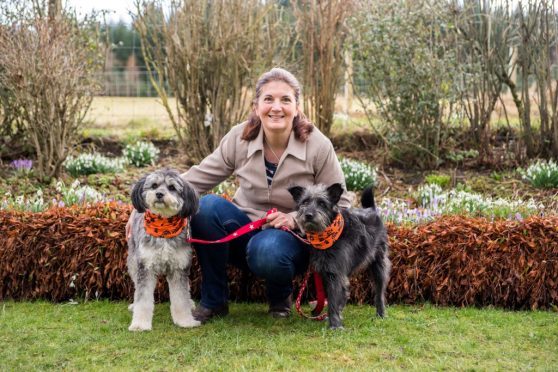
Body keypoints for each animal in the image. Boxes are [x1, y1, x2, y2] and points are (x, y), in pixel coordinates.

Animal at [128, 169, 202, 332]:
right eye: (154, 185)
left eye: (172, 188)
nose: (159, 194)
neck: (163, 229)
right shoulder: (145, 267)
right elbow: (142, 299)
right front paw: (140, 324)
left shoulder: (179, 268)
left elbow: (181, 298)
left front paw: (185, 321)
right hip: (133, 262)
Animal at [288, 183, 394, 328]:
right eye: (305, 202)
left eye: (322, 203)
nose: (308, 215)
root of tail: (371, 210)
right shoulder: (328, 273)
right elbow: (336, 298)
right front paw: (335, 319)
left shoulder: (335, 274)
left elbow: (334, 300)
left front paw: (335, 325)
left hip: (379, 265)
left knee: (379, 293)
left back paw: (381, 314)